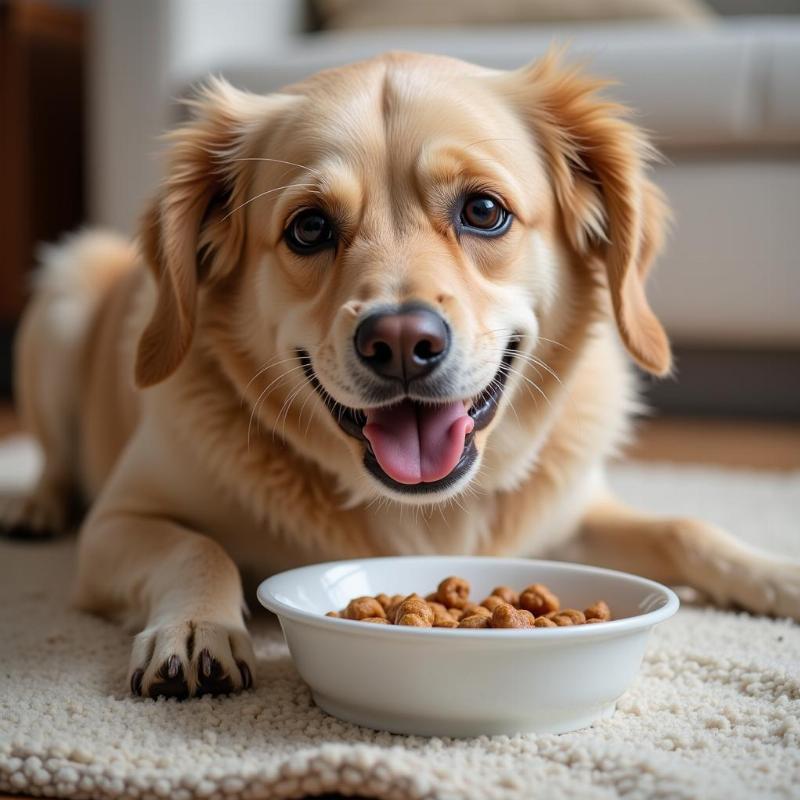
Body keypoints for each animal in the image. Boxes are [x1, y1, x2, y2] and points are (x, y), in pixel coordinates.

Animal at [6, 51, 800, 700]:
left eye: (484, 210)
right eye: (308, 228)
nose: (399, 343)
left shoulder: (568, 514)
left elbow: (686, 528)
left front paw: (776, 574)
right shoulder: (119, 521)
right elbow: (197, 549)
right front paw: (198, 628)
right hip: (65, 292)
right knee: (52, 460)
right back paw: (36, 507)